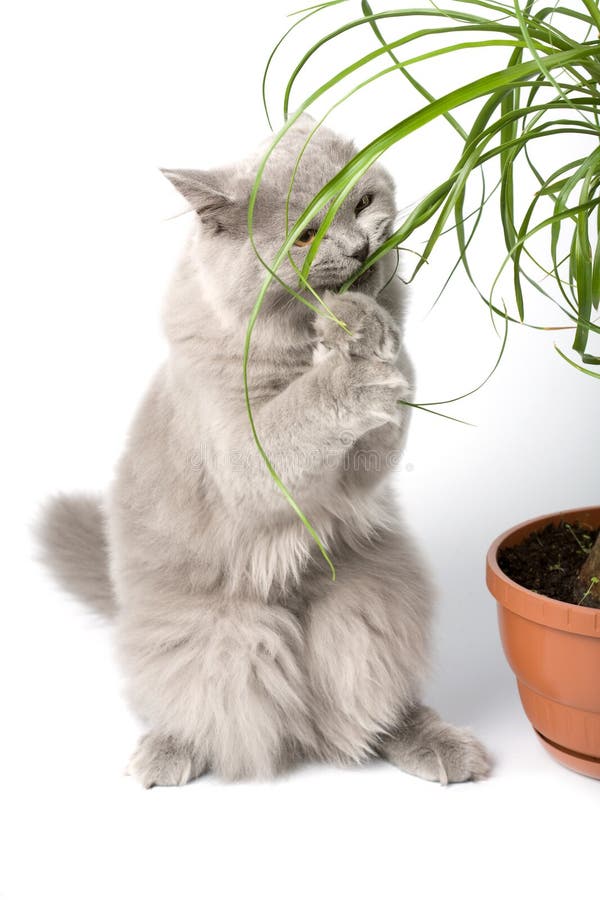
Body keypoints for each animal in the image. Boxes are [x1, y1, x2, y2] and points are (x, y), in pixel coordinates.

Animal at [39, 116, 492, 784]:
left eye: (363, 201)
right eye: (305, 236)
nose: (358, 248)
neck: (297, 347)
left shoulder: (365, 466)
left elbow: (389, 393)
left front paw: (364, 323)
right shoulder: (242, 454)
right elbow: (302, 417)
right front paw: (350, 345)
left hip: (372, 606)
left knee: (371, 706)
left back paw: (439, 747)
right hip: (217, 635)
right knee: (197, 704)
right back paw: (165, 753)